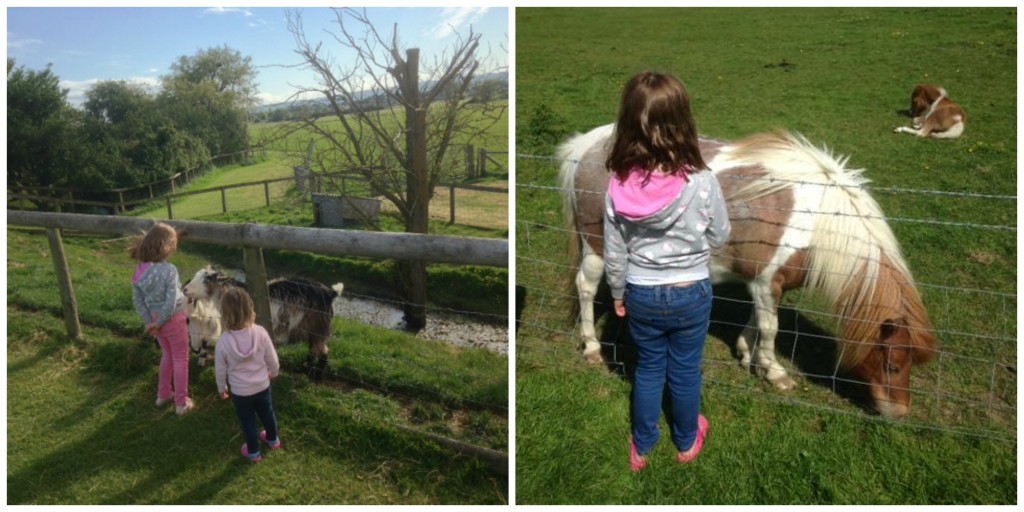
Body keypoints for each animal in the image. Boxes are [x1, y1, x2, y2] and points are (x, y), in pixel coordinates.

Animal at [183, 264, 344, 380]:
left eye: (207, 279)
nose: (185, 289)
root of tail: (331, 292)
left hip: (319, 328)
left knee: (323, 352)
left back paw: (317, 377)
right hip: (312, 329)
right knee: (313, 351)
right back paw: (308, 371)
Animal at [561, 124, 937, 419]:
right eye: (891, 365)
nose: (899, 413)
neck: (817, 220)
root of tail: (587, 145)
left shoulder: (766, 282)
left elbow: (759, 321)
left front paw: (746, 353)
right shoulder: (767, 280)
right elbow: (772, 328)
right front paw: (774, 372)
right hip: (597, 247)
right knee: (586, 288)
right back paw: (591, 347)